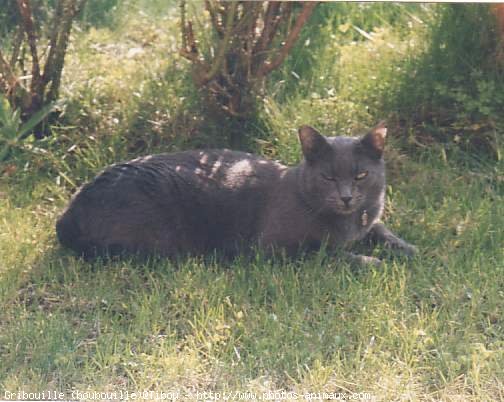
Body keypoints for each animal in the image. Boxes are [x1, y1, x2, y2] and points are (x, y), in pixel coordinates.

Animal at [55, 121, 418, 264]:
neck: (348, 224)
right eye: (328, 177)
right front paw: (371, 261)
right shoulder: (274, 248)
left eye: (361, 175)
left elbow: (381, 229)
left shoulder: (370, 219)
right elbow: (324, 253)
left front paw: (407, 249)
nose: (346, 197)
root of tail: (68, 213)